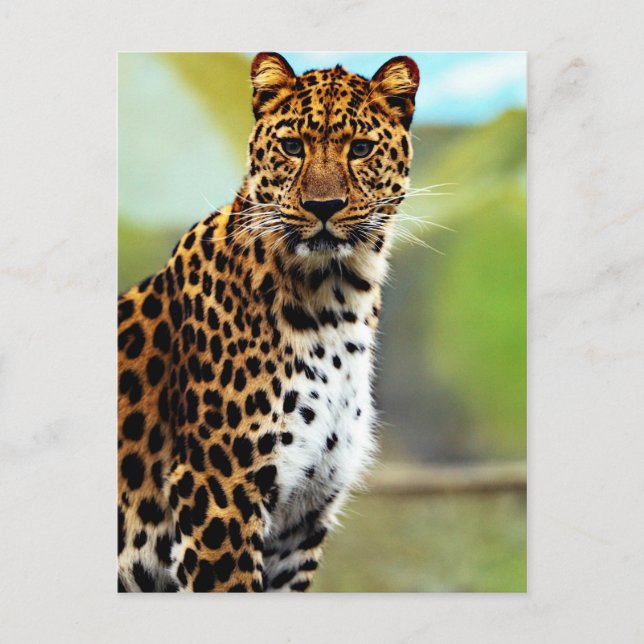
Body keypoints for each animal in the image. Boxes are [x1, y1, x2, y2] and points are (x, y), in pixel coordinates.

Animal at [118, 52, 420, 592]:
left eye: (361, 149)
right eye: (292, 146)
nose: (323, 208)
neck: (337, 300)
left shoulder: (302, 517)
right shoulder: (219, 494)